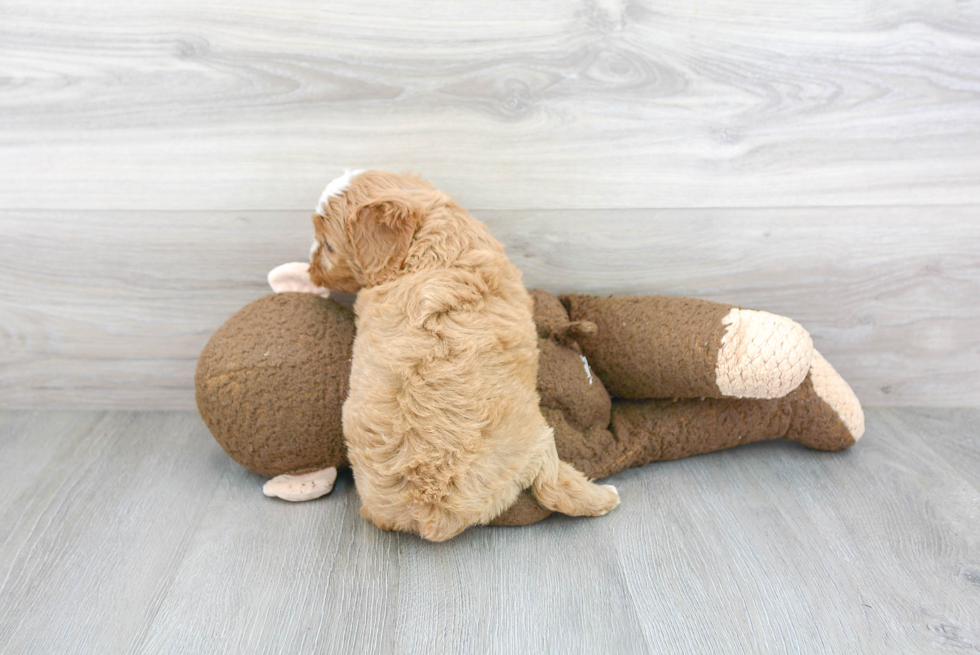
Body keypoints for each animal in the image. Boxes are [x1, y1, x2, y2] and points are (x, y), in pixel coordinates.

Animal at [308, 170, 620, 544]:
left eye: (328, 246)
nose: (310, 272)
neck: (428, 237)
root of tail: (428, 513)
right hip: (536, 441)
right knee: (552, 485)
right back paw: (604, 497)